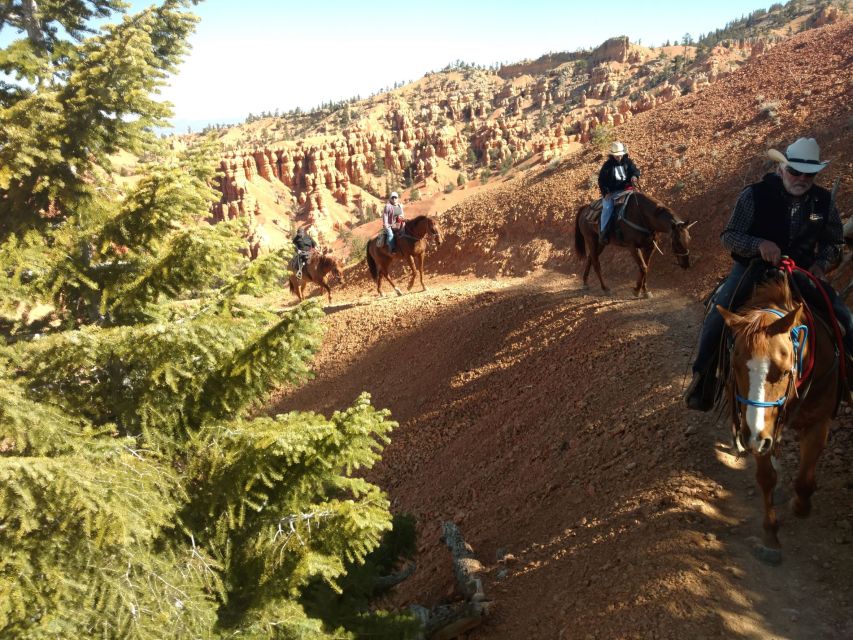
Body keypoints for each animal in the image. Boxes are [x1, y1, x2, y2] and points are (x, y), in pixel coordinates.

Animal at [720, 272, 840, 564]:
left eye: (785, 371)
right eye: (735, 365)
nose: (751, 438)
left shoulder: (818, 423)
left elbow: (805, 478)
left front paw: (801, 504)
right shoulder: (761, 432)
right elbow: (766, 478)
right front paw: (771, 536)